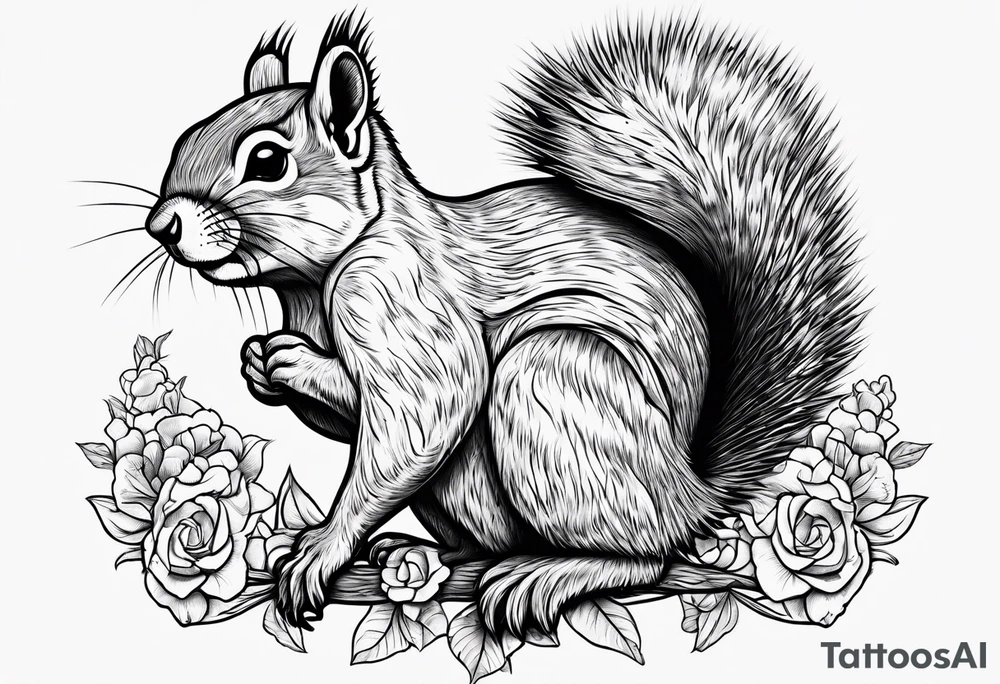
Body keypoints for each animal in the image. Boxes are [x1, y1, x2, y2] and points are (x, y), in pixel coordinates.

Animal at [144, 12, 864, 636]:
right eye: (182, 140)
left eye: (267, 161)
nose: (162, 225)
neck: (313, 284)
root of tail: (692, 490)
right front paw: (259, 366)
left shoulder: (400, 296)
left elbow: (429, 405)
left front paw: (321, 541)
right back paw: (423, 555)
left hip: (551, 381)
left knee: (648, 553)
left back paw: (549, 574)